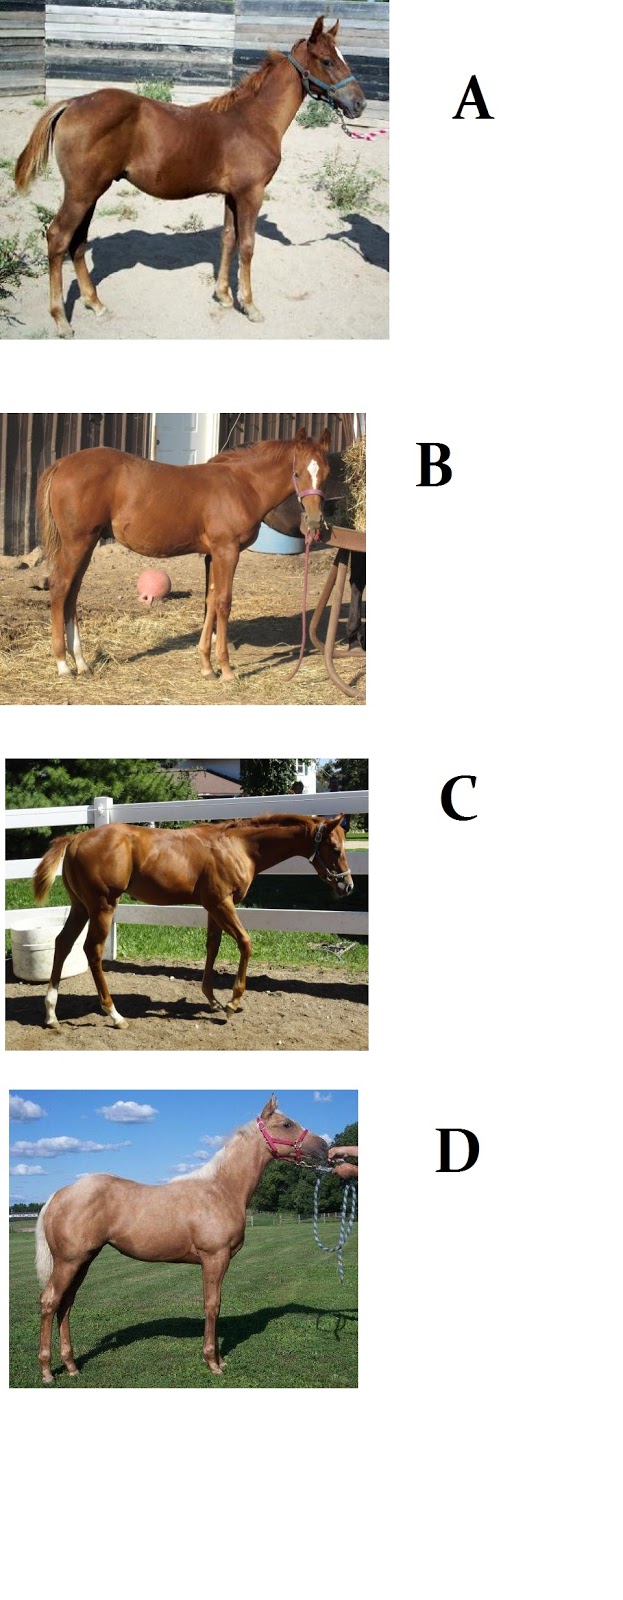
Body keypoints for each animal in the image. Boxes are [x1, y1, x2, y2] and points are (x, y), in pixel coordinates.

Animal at [14, 16, 365, 337]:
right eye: (327, 60)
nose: (359, 104)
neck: (254, 120)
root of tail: (72, 103)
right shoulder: (251, 193)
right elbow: (248, 245)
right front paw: (249, 305)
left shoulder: (232, 194)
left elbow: (228, 239)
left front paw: (224, 296)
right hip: (81, 192)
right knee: (58, 237)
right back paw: (61, 320)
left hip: (90, 192)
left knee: (78, 242)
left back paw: (95, 303)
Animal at [33, 812, 353, 1029]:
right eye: (336, 849)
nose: (347, 886)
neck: (238, 846)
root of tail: (75, 839)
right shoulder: (222, 903)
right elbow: (245, 943)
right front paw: (232, 1003)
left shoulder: (213, 906)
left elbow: (213, 946)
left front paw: (212, 1000)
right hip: (103, 906)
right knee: (93, 950)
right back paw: (114, 1014)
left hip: (81, 907)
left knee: (62, 944)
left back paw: (51, 1014)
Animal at [34, 1096, 329, 1383]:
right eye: (287, 1124)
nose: (325, 1147)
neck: (221, 1189)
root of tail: (59, 1194)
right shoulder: (214, 1258)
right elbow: (212, 1305)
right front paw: (213, 1362)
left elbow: (215, 1305)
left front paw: (220, 1359)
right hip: (69, 1262)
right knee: (50, 1301)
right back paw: (47, 1371)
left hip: (83, 1261)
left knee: (66, 1304)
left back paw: (71, 1366)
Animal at [35, 427, 331, 680]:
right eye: (297, 473)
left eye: (326, 473)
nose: (315, 521)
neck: (242, 485)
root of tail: (61, 464)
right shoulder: (227, 551)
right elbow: (223, 603)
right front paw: (226, 671)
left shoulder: (213, 555)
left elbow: (210, 602)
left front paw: (207, 668)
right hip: (77, 543)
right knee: (60, 587)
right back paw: (63, 665)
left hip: (86, 544)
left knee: (72, 593)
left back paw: (82, 663)